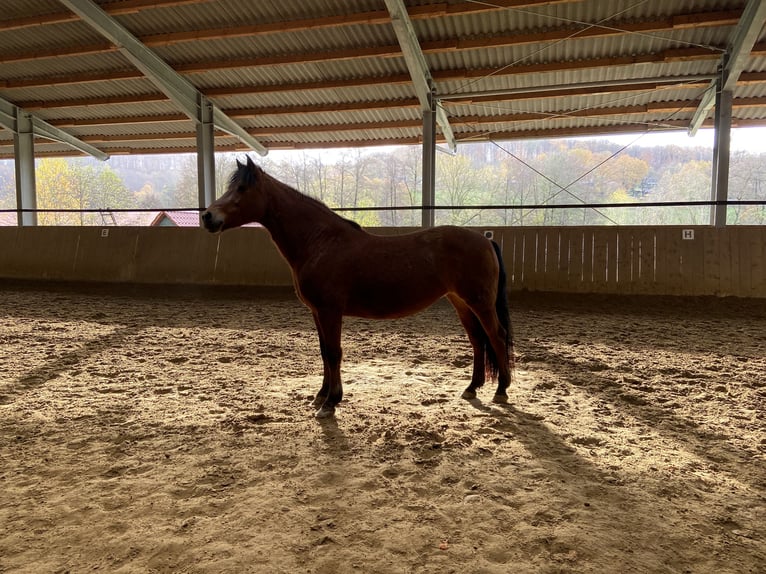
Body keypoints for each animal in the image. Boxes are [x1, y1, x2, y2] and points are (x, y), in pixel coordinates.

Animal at [204, 158, 516, 418]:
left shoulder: (330, 311)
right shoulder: (317, 312)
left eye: (242, 188)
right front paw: (321, 395)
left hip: (480, 303)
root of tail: (485, 239)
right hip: (461, 302)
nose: (208, 217)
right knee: (477, 340)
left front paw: (331, 402)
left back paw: (502, 390)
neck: (320, 241)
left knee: (496, 336)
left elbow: (334, 353)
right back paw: (472, 388)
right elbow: (323, 351)